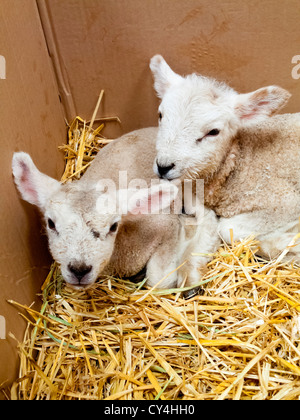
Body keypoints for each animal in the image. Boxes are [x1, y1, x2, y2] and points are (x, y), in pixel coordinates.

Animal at [11, 128, 219, 292]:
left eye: (113, 227)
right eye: (51, 223)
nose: (79, 270)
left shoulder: (166, 226)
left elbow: (157, 281)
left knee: (205, 215)